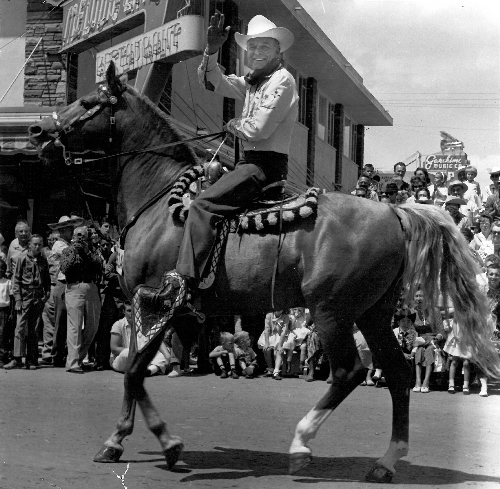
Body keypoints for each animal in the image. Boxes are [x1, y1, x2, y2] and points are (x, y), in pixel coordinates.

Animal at [28, 62, 500, 484]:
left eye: (88, 102)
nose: (38, 132)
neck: (160, 204)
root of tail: (394, 212)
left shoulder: (155, 304)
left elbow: (133, 371)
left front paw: (144, 441)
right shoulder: (155, 311)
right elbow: (134, 371)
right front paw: (142, 441)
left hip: (332, 311)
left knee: (349, 371)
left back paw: (302, 444)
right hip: (372, 313)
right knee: (398, 375)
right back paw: (385, 461)